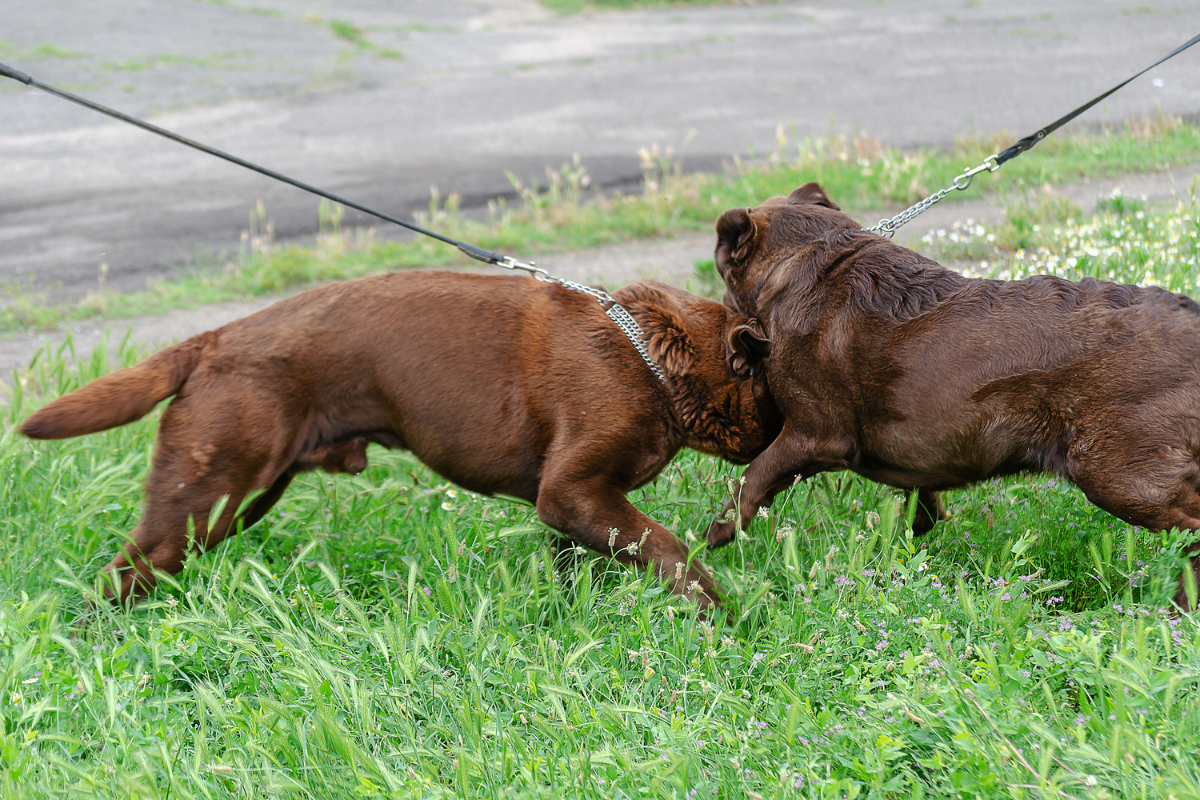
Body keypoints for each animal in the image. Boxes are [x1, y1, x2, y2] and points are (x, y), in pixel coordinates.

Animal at [25, 272, 787, 609]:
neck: (654, 358)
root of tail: (212, 340)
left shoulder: (579, 507)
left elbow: (591, 563)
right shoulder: (573, 491)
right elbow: (673, 550)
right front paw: (717, 613)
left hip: (235, 501)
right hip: (206, 494)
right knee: (119, 574)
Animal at [705, 181, 1200, 606]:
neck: (805, 259)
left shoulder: (813, 433)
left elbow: (752, 477)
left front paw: (714, 535)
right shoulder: (919, 455)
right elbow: (920, 503)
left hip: (1118, 473)